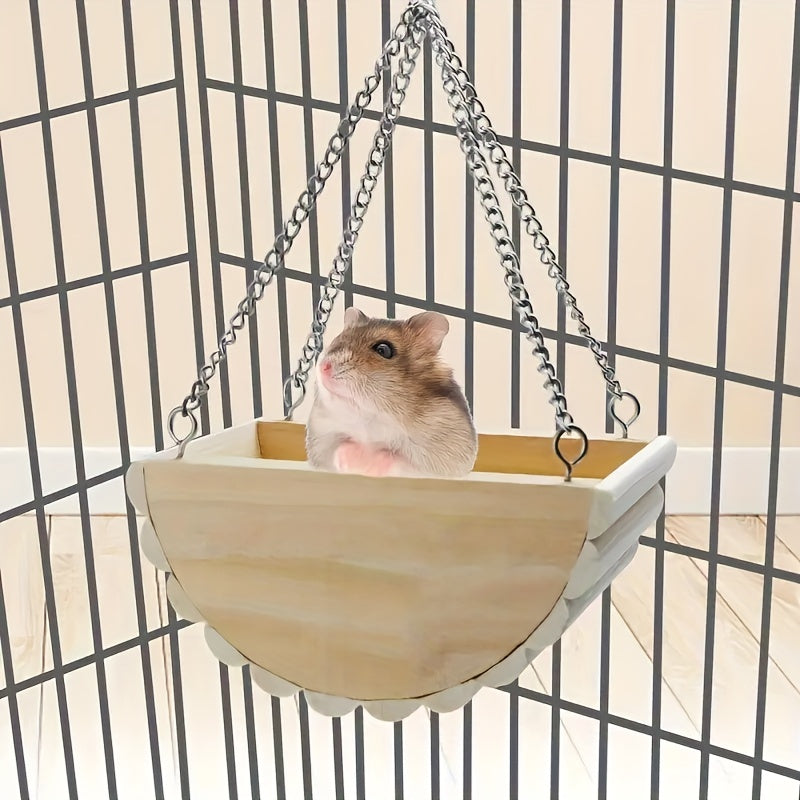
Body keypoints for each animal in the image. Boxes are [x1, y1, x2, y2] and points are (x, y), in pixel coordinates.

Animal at [305, 307, 478, 478]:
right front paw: (353, 460)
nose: (324, 367)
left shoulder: (440, 460)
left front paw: (369, 464)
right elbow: (337, 450)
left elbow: (400, 461)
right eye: (336, 340)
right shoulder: (320, 444)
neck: (371, 417)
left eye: (383, 349)